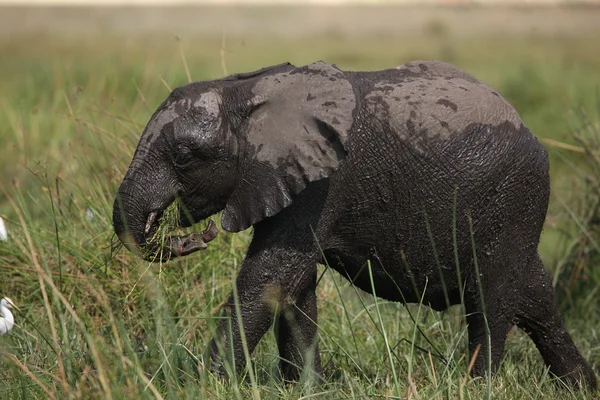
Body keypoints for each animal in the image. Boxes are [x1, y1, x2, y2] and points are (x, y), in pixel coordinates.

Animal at [111, 59, 596, 388]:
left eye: (184, 156)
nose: (198, 237)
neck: (246, 92)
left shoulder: (324, 182)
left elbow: (269, 277)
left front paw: (203, 385)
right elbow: (295, 282)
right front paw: (305, 389)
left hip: (512, 196)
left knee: (491, 297)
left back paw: (475, 387)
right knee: (535, 296)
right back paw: (580, 386)